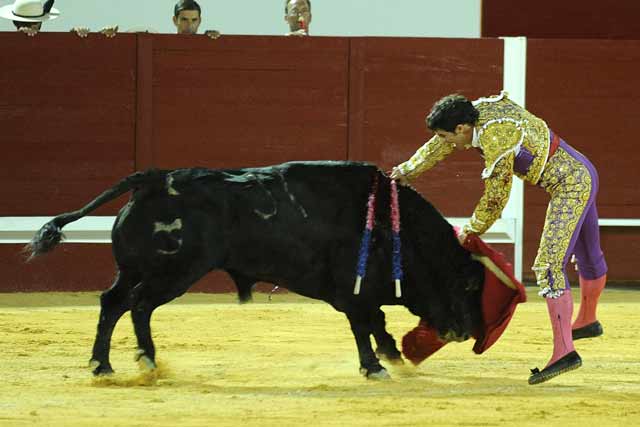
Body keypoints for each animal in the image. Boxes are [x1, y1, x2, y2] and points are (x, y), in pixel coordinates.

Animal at [27, 162, 482, 380]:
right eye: (466, 284)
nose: (468, 331)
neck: (392, 225)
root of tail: (155, 180)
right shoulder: (352, 288)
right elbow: (363, 323)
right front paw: (375, 367)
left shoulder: (358, 291)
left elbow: (376, 321)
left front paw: (392, 356)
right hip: (174, 272)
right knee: (139, 305)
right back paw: (147, 361)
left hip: (135, 269)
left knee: (113, 302)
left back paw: (102, 365)